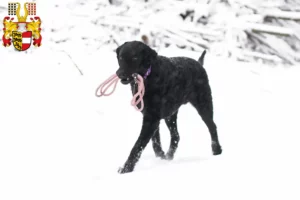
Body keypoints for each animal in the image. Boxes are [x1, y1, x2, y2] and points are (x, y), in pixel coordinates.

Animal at [116, 40, 221, 173]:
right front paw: (160, 155)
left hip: (204, 105)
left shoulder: (151, 118)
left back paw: (217, 150)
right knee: (176, 136)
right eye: (121, 57)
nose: (119, 73)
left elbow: (138, 145)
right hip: (170, 114)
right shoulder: (151, 116)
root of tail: (198, 63)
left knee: (212, 126)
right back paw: (169, 156)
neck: (149, 78)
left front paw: (126, 168)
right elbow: (155, 140)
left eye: (135, 57)